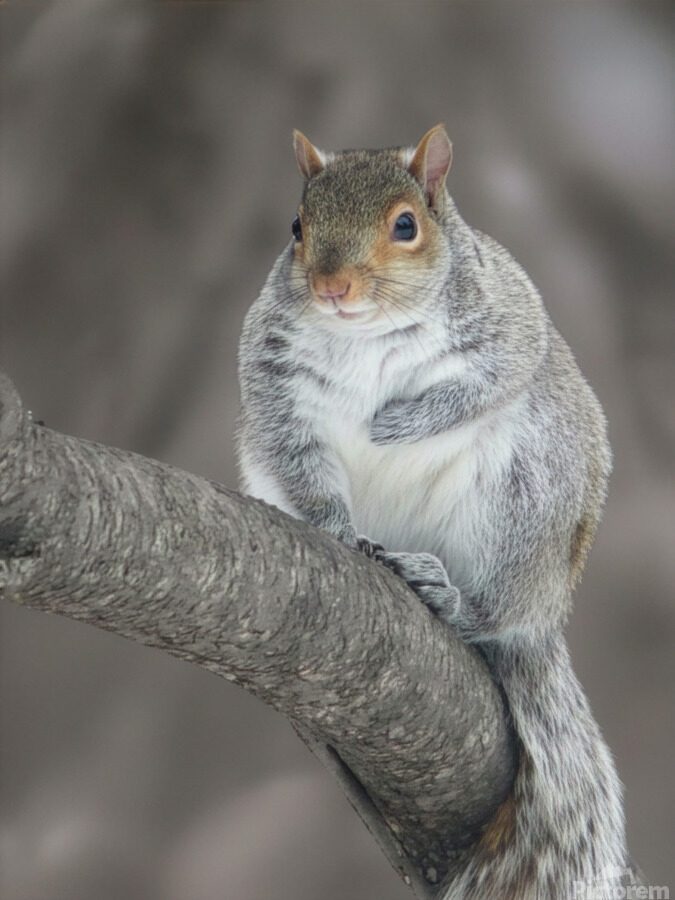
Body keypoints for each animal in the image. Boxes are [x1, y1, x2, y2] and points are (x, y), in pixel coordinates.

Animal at [237, 125, 628, 899]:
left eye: (405, 226)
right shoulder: (272, 384)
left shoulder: (509, 325)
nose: (330, 287)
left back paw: (444, 591)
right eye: (296, 227)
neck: (364, 332)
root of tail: (545, 611)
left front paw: (395, 425)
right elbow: (298, 461)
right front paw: (333, 529)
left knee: (491, 616)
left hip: (523, 503)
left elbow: (486, 380)